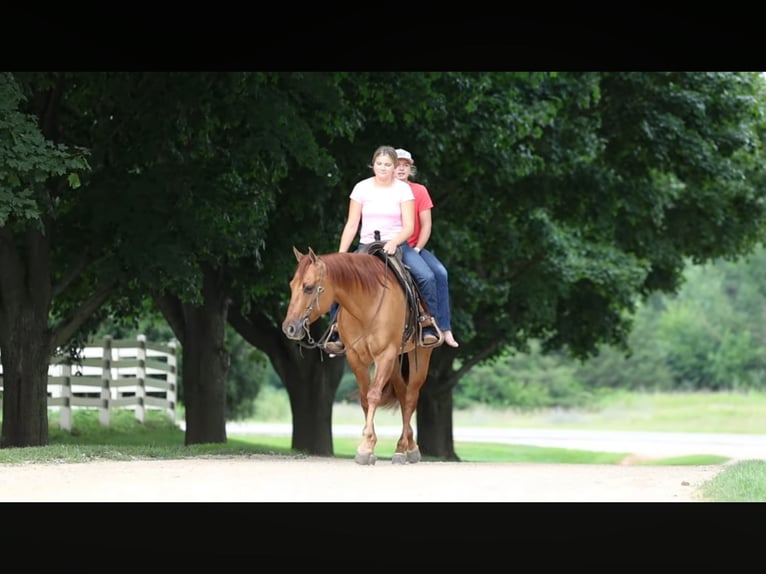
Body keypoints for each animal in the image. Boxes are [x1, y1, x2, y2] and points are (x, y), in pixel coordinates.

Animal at [281, 246, 435, 465]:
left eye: (308, 287)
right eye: (292, 285)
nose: (289, 328)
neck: (366, 306)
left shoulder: (384, 355)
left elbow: (373, 395)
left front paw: (366, 446)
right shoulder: (356, 358)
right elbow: (364, 397)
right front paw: (368, 444)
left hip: (419, 356)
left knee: (411, 396)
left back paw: (405, 447)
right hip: (395, 364)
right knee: (403, 394)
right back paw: (405, 447)